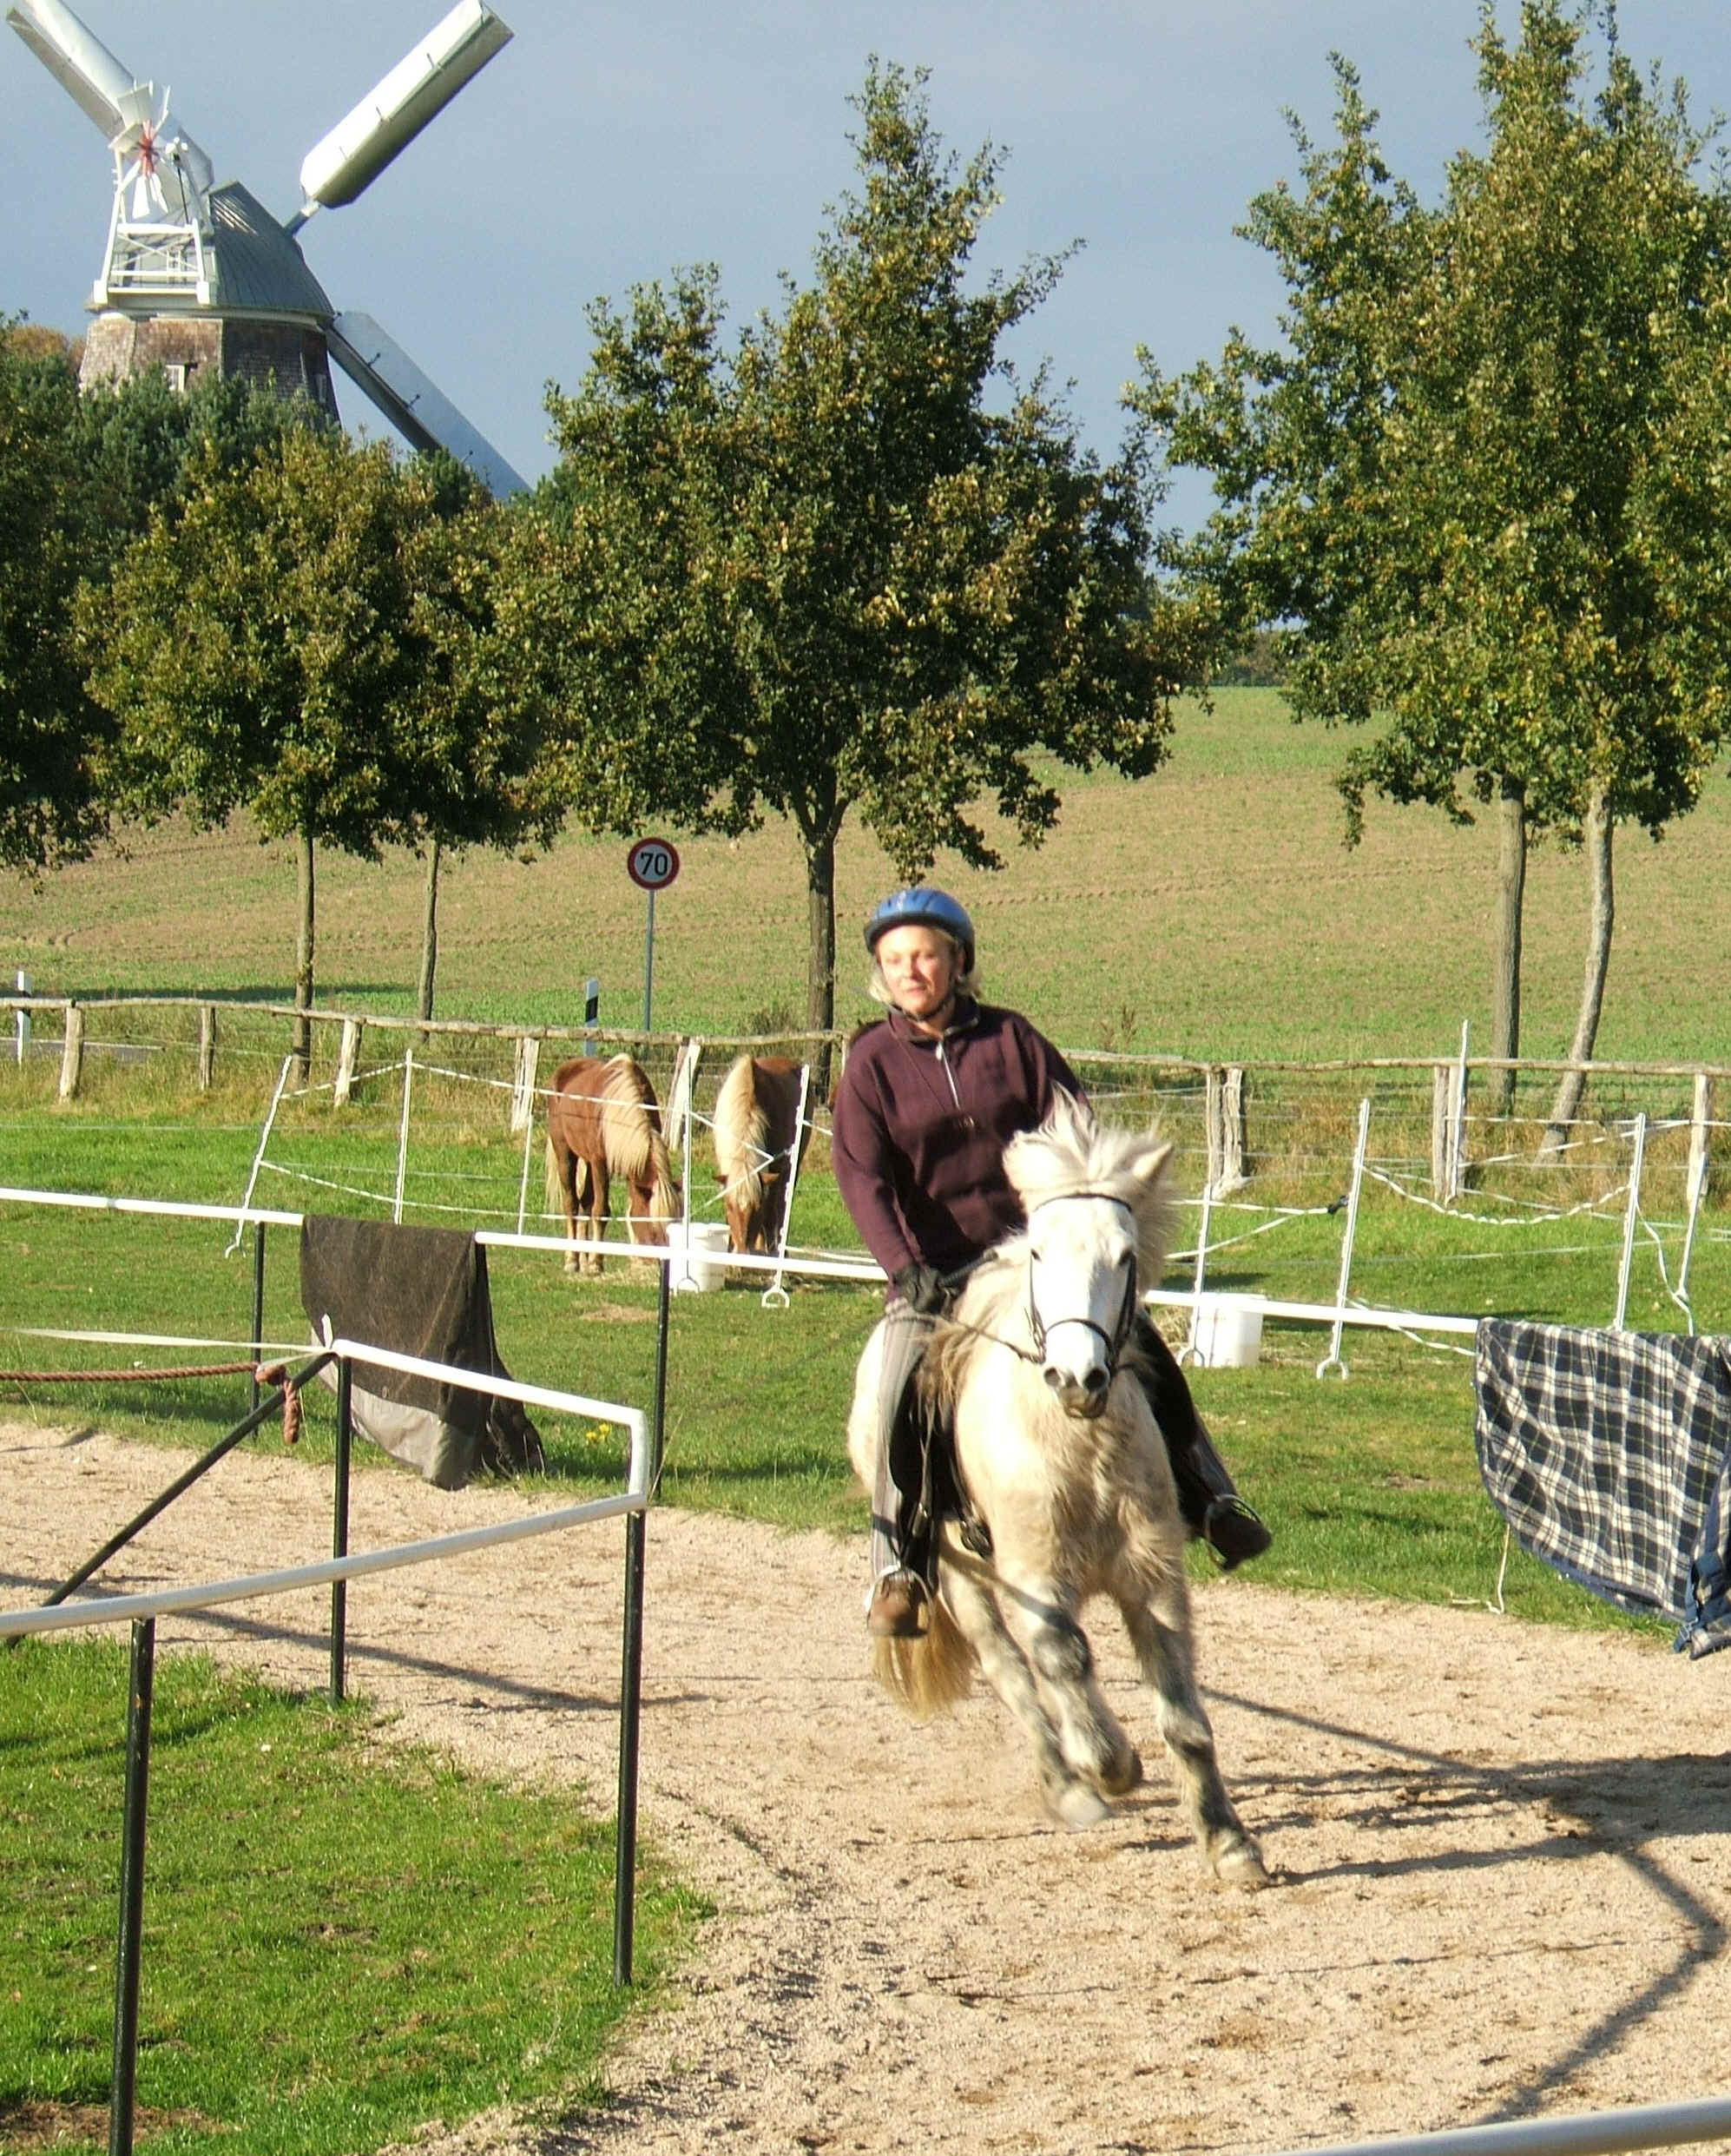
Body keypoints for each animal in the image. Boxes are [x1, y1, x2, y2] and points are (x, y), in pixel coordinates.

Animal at [545, 1052, 681, 1268]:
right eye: (653, 1229)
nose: (661, 1263)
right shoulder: (600, 1162)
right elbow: (601, 1210)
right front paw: (596, 1263)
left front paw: (593, 1260)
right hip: (565, 1154)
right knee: (571, 1203)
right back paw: (572, 1259)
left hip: (588, 1162)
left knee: (585, 1202)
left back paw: (583, 1258)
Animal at [845, 1104, 1267, 1880]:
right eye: (1038, 1253)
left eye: (1125, 1256)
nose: (1077, 1377)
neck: (1078, 1447)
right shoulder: (1035, 1578)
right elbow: (1063, 1660)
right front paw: (1110, 1763)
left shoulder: (1154, 1576)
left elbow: (1185, 1716)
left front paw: (1229, 1841)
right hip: (960, 1576)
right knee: (1011, 1671)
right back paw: (1069, 1785)